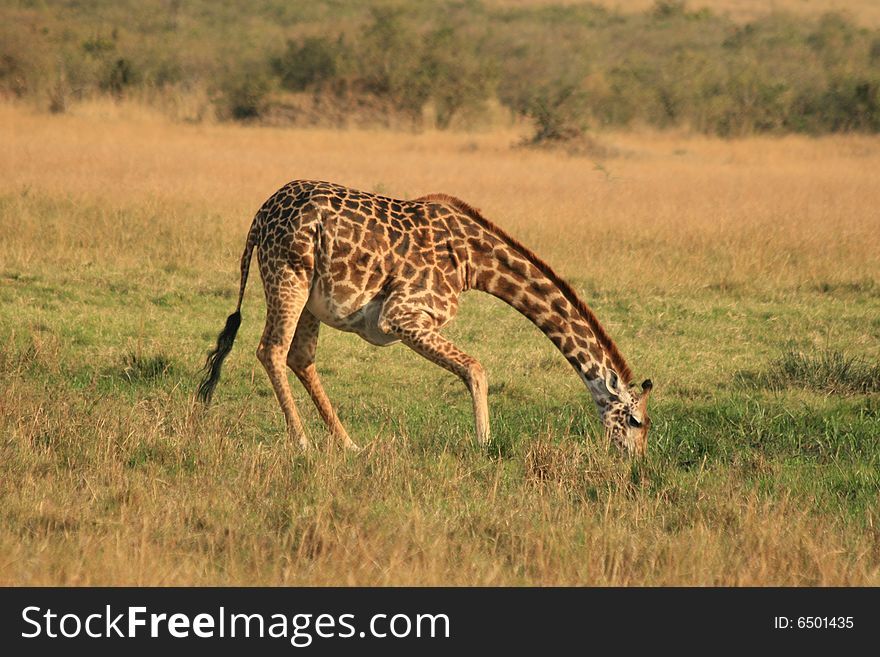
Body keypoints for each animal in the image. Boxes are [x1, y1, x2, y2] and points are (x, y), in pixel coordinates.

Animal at [199, 181, 652, 456]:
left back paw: (349, 444)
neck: (474, 263)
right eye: (635, 420)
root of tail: (259, 216)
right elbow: (475, 369)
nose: (635, 461)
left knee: (300, 358)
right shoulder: (402, 315)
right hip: (288, 274)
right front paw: (485, 446)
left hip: (310, 296)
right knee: (272, 350)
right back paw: (304, 443)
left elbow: (473, 369)